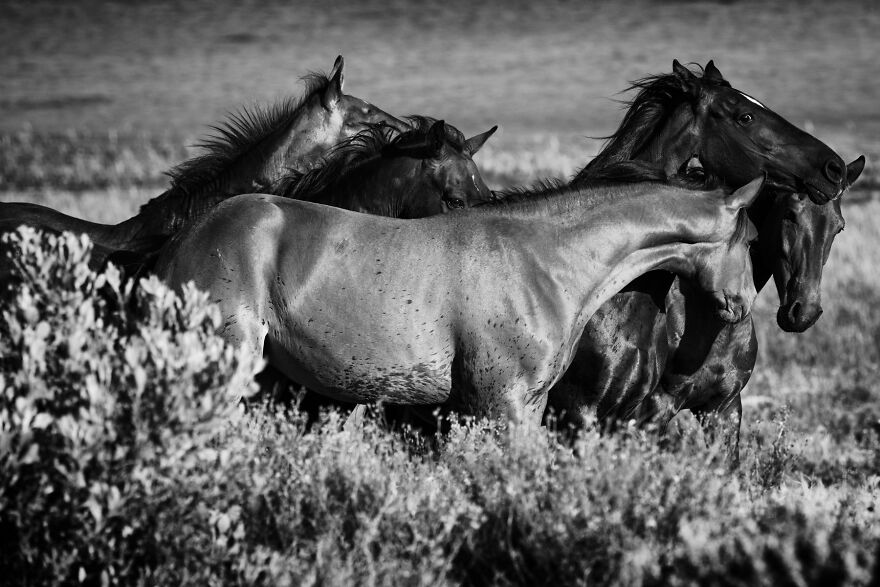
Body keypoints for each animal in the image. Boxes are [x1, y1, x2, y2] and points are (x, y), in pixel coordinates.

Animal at [155, 165, 764, 428]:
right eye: (751, 239)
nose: (741, 307)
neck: (544, 259)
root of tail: (189, 237)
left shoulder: (531, 406)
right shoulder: (499, 404)